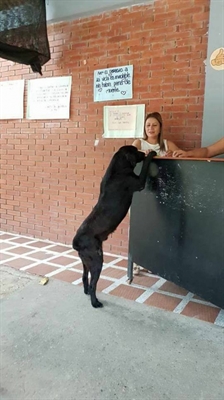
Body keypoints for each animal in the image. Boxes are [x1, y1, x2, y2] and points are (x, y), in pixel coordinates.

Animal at [72, 145, 156, 308]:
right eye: (135, 150)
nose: (143, 152)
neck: (118, 168)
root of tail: (76, 243)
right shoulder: (138, 182)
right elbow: (145, 167)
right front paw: (151, 154)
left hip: (86, 262)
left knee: (84, 277)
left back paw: (86, 293)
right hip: (97, 261)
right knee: (93, 284)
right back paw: (95, 302)